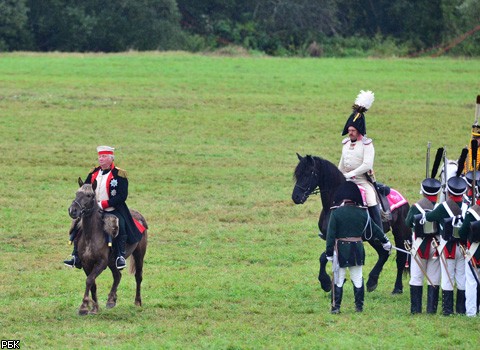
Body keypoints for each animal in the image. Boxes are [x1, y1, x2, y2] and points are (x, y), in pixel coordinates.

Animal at [66, 178, 147, 314]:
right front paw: (95, 307)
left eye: (89, 195)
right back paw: (111, 300)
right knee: (117, 276)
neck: (91, 235)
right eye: (77, 193)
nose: (73, 210)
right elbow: (92, 283)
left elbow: (89, 280)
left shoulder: (101, 262)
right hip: (112, 261)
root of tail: (139, 215)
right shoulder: (86, 264)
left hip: (139, 254)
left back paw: (137, 302)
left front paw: (84, 307)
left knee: (138, 276)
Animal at [290, 154, 410, 294]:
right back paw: (372, 282)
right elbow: (327, 258)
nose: (296, 197)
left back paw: (396, 287)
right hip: (372, 238)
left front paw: (325, 283)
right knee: (384, 253)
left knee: (400, 258)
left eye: (308, 173)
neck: (335, 203)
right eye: (297, 174)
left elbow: (324, 257)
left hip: (400, 232)